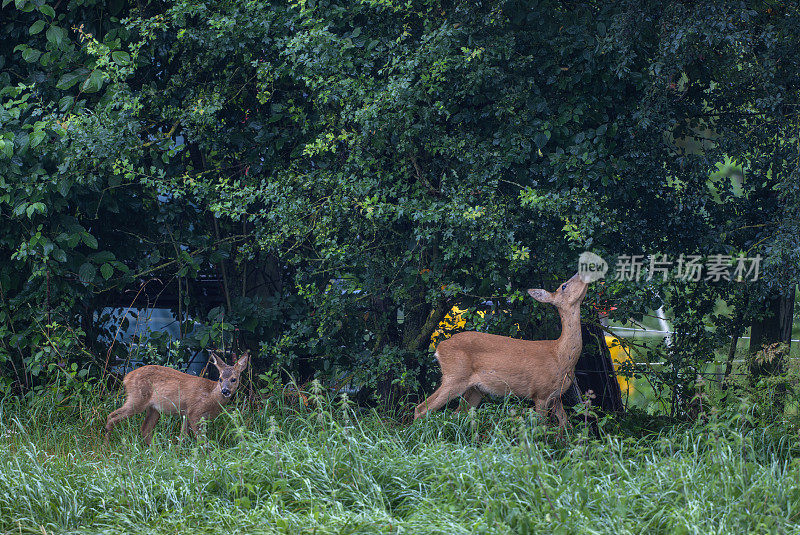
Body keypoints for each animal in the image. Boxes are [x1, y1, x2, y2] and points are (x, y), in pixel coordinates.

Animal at [106, 350, 248, 446]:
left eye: (234, 379)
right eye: (220, 379)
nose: (225, 391)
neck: (211, 396)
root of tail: (126, 378)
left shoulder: (187, 414)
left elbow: (182, 436)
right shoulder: (194, 411)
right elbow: (201, 439)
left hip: (153, 408)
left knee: (145, 428)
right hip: (137, 399)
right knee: (112, 416)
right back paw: (106, 446)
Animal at [416, 274, 592, 430]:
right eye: (564, 285)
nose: (581, 273)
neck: (561, 356)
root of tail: (440, 347)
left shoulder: (557, 397)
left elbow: (566, 427)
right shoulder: (540, 393)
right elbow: (541, 428)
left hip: (475, 389)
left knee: (458, 414)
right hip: (454, 376)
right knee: (422, 408)